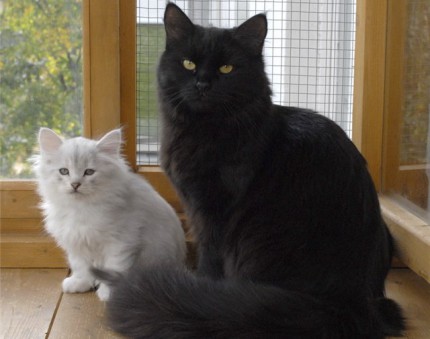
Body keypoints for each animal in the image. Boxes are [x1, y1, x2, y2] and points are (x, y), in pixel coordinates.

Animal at [33, 129, 186, 302]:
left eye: (89, 172)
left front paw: (109, 293)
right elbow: (80, 266)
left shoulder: (120, 241)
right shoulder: (76, 241)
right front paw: (80, 283)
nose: (75, 184)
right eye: (64, 171)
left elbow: (113, 267)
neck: (81, 208)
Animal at [97, 3, 404, 339]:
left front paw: (204, 285)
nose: (202, 84)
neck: (204, 130)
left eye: (226, 68)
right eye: (189, 64)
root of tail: (351, 305)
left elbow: (210, 257)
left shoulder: (212, 210)